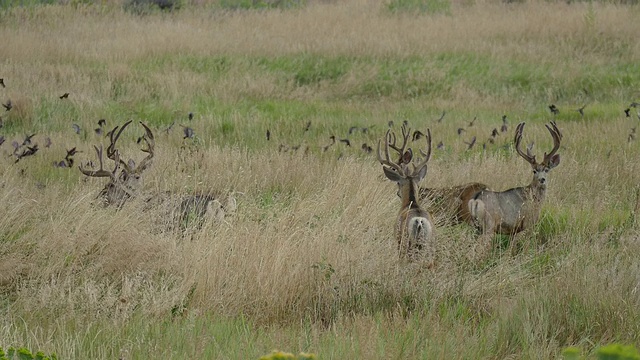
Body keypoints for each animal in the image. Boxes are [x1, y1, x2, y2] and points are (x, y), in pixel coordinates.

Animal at [376, 127, 436, 262]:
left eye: (398, 182)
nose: (398, 193)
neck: (411, 203)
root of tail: (419, 220)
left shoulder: (397, 239)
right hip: (429, 243)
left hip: (406, 243)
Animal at [468, 121, 564, 250]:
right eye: (534, 171)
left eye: (547, 170)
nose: (542, 180)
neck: (535, 199)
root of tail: (475, 200)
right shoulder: (528, 223)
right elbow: (526, 246)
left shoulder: (514, 230)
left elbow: (511, 248)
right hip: (488, 225)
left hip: (476, 227)